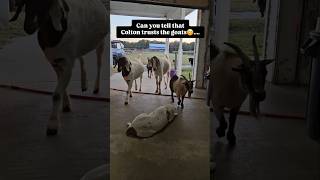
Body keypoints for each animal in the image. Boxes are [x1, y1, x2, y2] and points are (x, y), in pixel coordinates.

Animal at [10, 0, 108, 135]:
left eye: (46, 3)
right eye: (26, 3)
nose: (29, 26)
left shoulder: (67, 62)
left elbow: (56, 94)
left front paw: (52, 125)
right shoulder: (55, 61)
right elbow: (61, 82)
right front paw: (66, 105)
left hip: (100, 42)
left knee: (99, 63)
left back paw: (95, 88)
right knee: (80, 57)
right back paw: (84, 84)